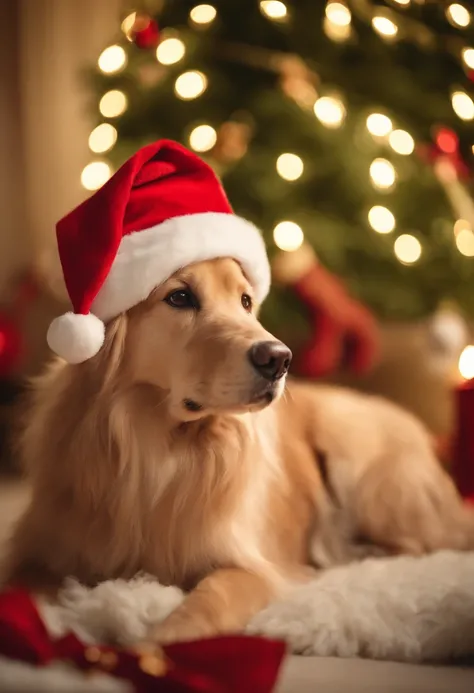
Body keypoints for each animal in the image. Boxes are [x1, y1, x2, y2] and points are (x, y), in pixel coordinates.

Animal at [3, 260, 474, 644]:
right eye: (179, 297)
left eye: (245, 301)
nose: (279, 359)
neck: (155, 446)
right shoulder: (38, 551)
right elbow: (21, 585)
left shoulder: (248, 567)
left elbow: (213, 594)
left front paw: (164, 641)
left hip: (361, 462)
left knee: (421, 544)